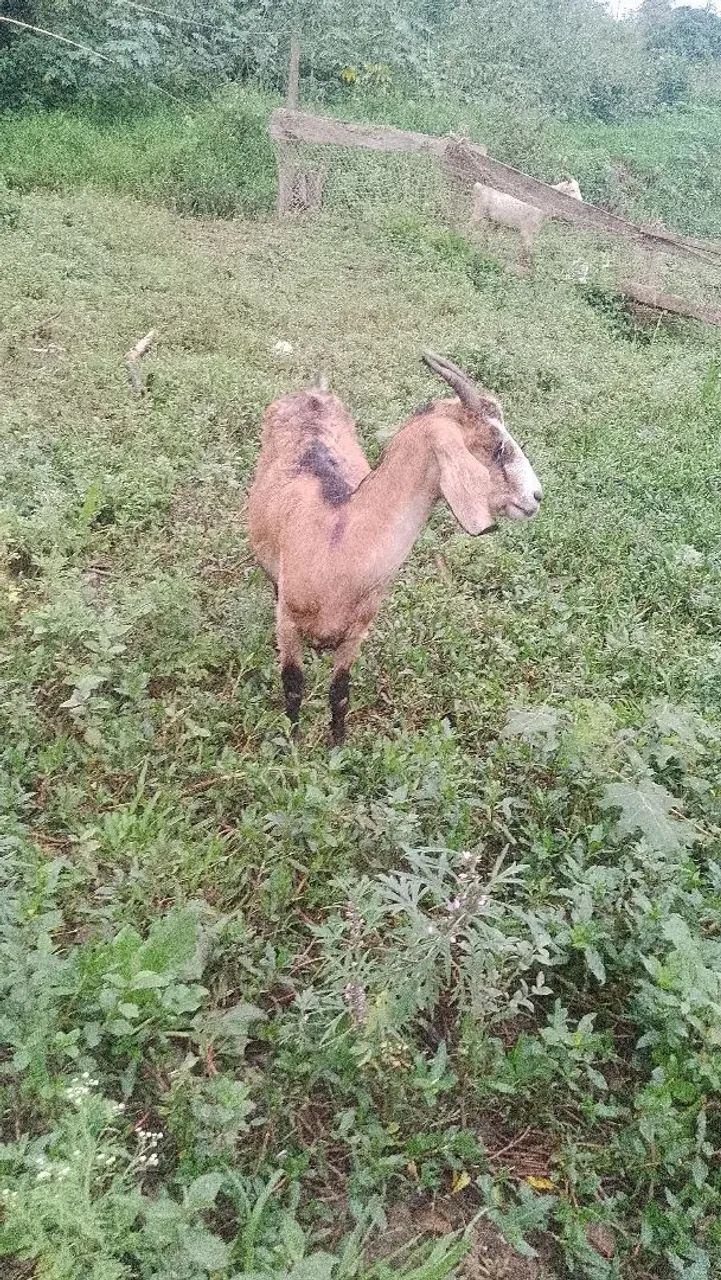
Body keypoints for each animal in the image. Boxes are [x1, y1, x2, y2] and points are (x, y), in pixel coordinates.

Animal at [247, 351, 542, 744]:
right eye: (496, 445)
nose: (536, 496)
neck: (337, 541)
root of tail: (314, 391)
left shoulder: (356, 633)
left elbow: (340, 693)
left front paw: (337, 748)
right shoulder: (290, 625)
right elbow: (293, 686)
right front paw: (291, 746)